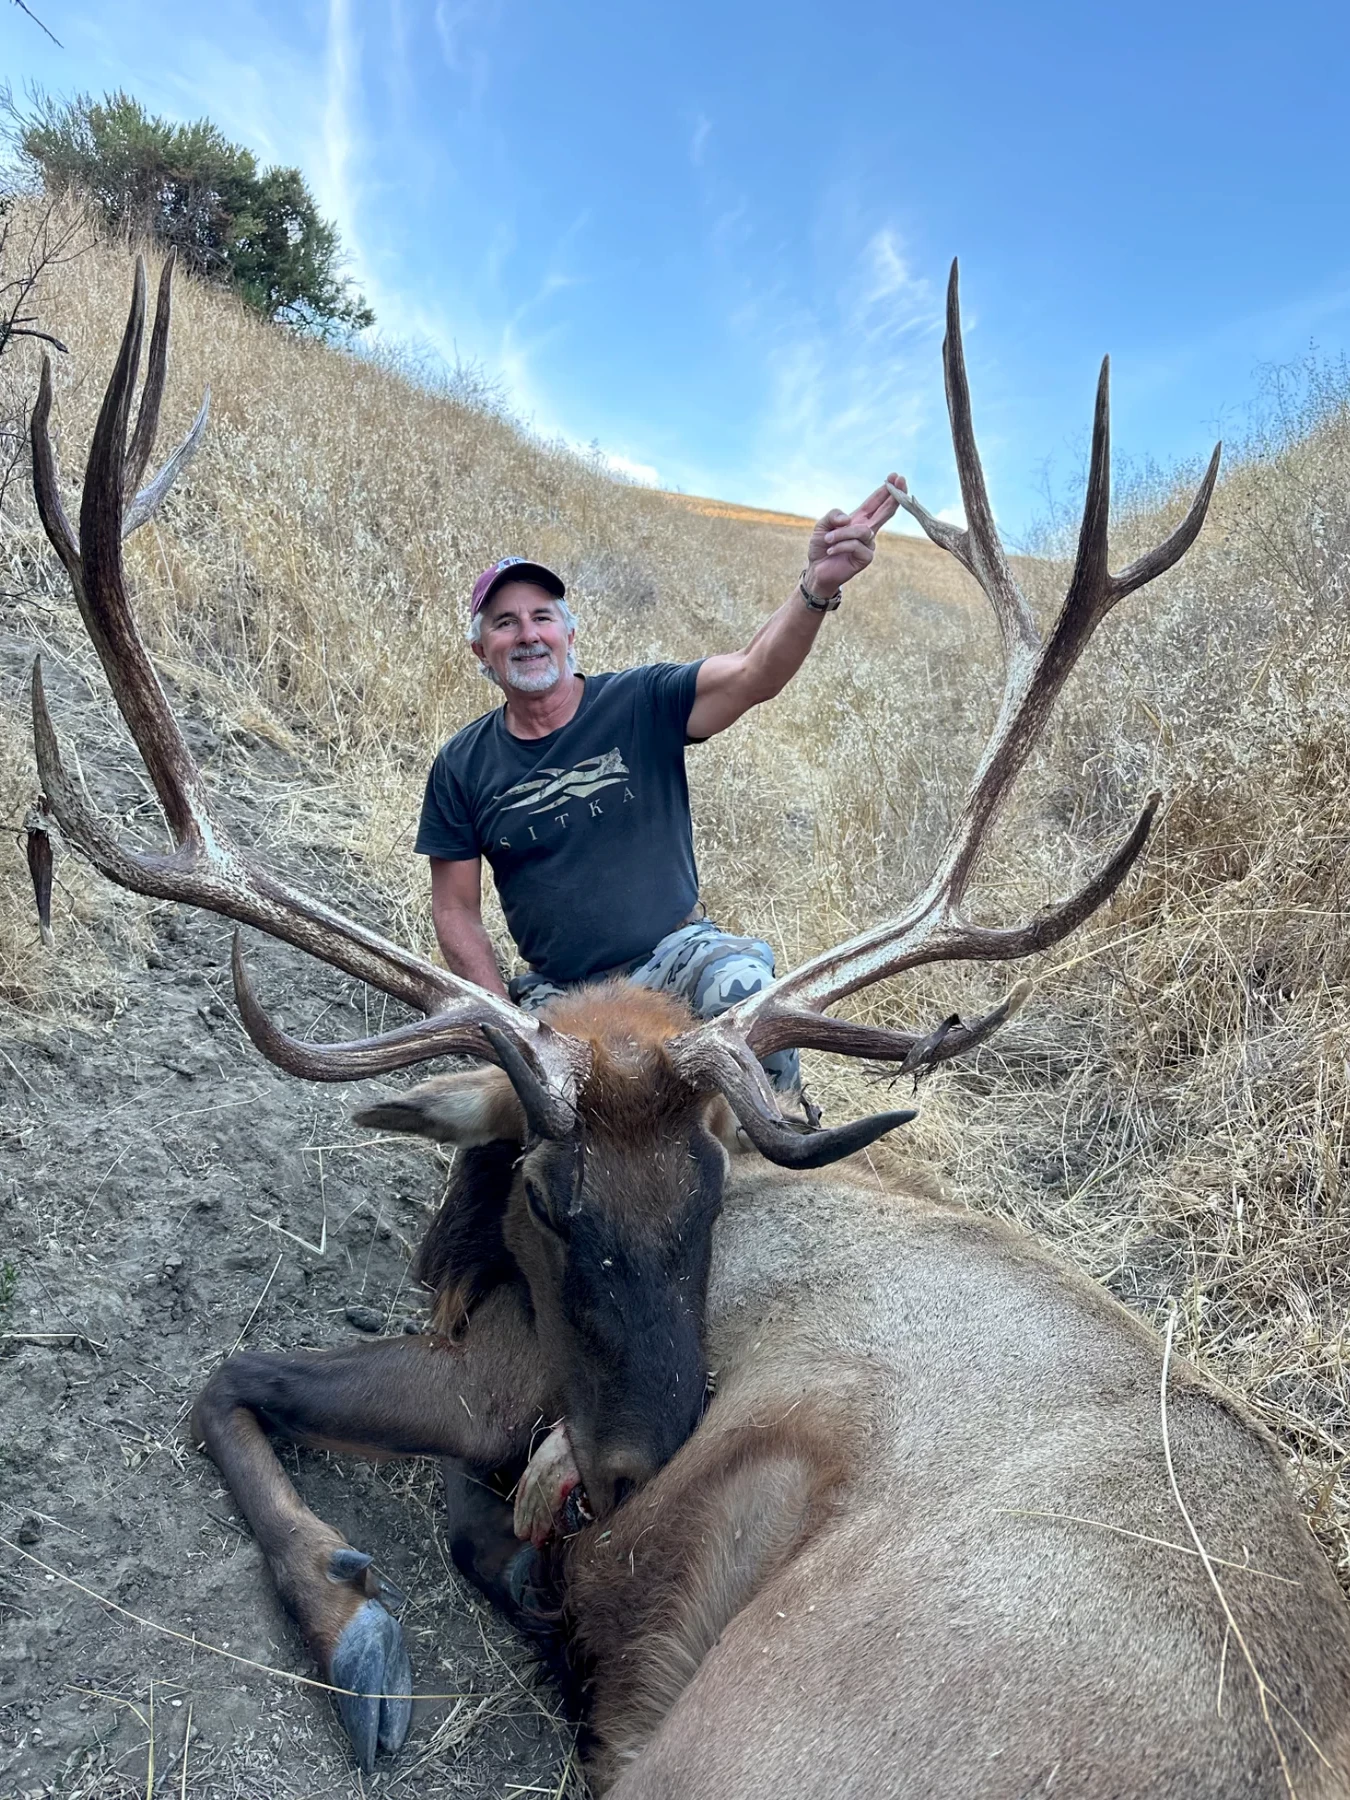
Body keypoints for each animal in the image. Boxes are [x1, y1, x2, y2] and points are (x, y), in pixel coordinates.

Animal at [26, 256, 1350, 1798]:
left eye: (711, 1193)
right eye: (554, 1197)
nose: (628, 1471)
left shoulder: (498, 1382)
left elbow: (224, 1376)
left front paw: (362, 1629)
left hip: (763, 1728)